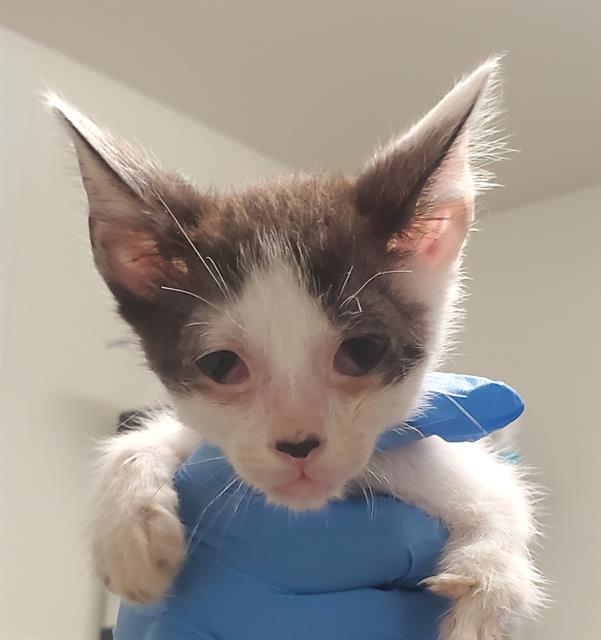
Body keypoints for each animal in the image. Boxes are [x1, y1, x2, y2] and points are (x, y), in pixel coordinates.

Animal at [49, 57, 540, 636]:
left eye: (362, 353)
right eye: (220, 363)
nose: (298, 444)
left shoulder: (434, 463)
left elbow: (500, 496)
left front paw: (486, 589)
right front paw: (128, 527)